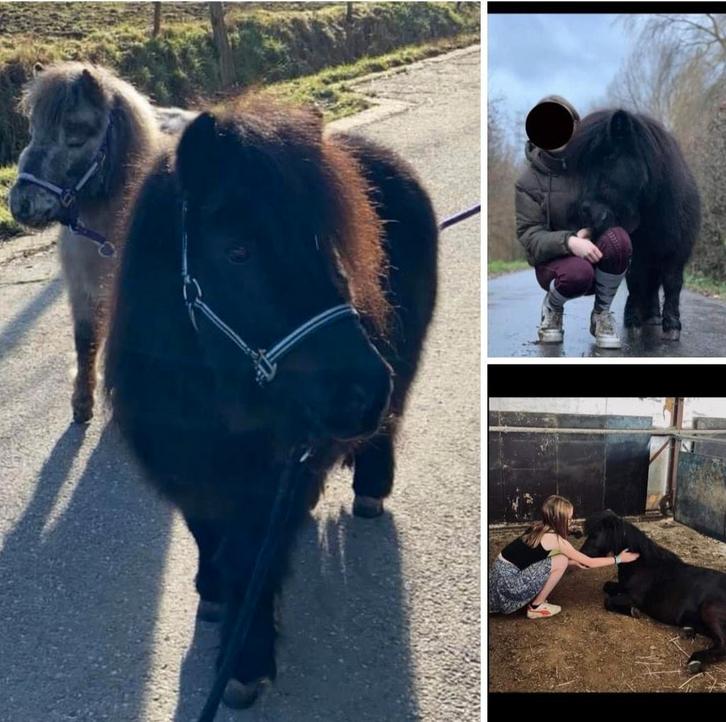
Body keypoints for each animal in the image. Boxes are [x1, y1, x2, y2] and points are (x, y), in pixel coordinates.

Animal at [8, 62, 193, 423]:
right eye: (33, 129)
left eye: (77, 134)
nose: (22, 203)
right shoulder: (82, 287)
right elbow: (85, 340)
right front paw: (82, 402)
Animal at [103, 96, 438, 707]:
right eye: (237, 251)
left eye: (325, 242)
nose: (365, 389)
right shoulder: (189, 472)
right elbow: (205, 533)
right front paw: (212, 592)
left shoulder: (268, 481)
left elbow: (249, 554)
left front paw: (245, 660)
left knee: (388, 428)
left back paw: (370, 488)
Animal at [565, 108, 701, 341]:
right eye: (582, 168)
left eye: (609, 156)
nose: (585, 213)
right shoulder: (637, 251)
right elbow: (636, 280)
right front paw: (634, 321)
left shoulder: (677, 250)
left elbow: (673, 283)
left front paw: (672, 325)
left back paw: (654, 317)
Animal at [582, 510, 726, 673]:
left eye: (595, 534)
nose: (582, 555)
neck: (642, 564)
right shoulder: (621, 587)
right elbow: (606, 586)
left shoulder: (633, 597)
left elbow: (608, 601)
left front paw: (633, 611)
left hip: (709, 609)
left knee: (722, 645)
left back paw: (696, 660)